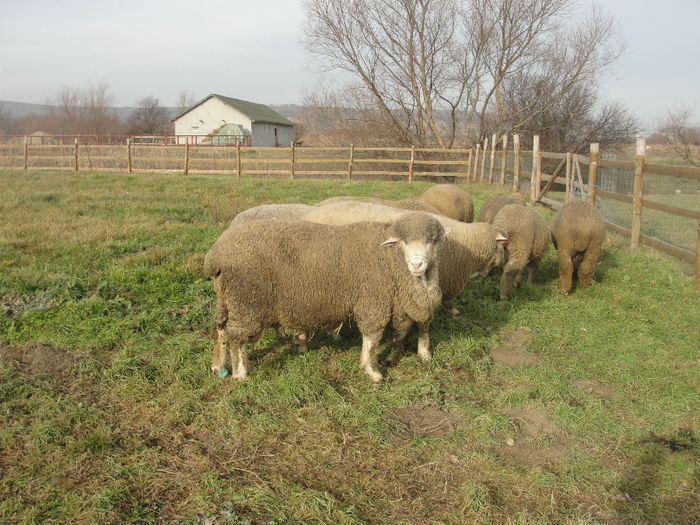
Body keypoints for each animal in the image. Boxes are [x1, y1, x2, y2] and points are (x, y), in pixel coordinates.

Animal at [304, 201, 506, 314]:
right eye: (503, 245)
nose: (504, 262)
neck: (469, 242)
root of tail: (312, 212)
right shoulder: (450, 278)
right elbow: (448, 300)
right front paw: (453, 311)